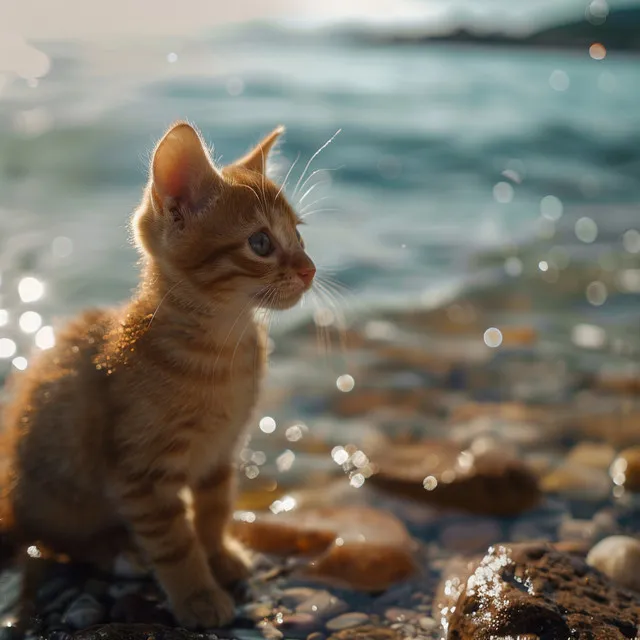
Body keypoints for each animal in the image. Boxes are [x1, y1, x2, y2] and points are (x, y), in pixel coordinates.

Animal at [0, 121, 316, 632]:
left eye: (300, 236)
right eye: (261, 243)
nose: (310, 270)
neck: (224, 350)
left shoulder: (221, 451)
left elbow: (213, 509)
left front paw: (220, 554)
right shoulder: (140, 473)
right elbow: (174, 542)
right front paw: (198, 595)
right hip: (56, 493)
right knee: (52, 541)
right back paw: (117, 551)